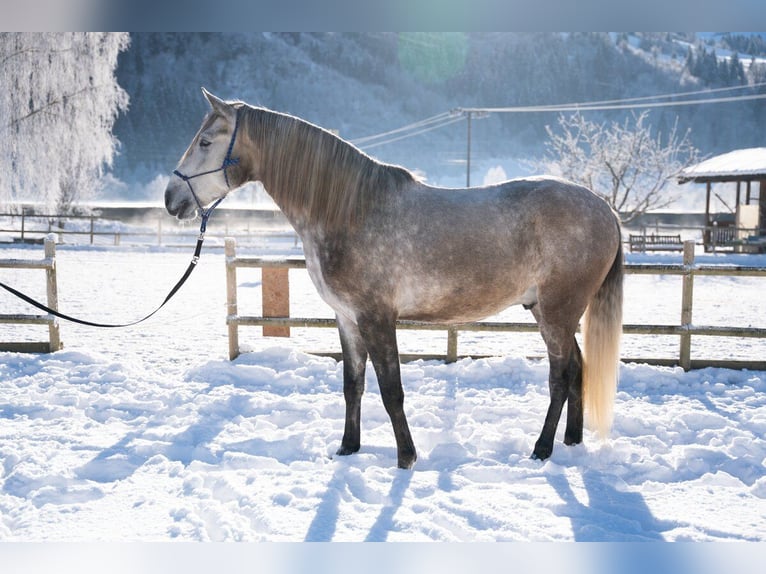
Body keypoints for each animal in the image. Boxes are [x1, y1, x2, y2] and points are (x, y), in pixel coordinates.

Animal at [164, 88, 624, 470]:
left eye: (206, 142)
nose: (171, 199)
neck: (350, 212)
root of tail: (605, 209)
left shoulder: (376, 318)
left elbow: (391, 389)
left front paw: (406, 458)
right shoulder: (347, 319)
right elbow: (353, 384)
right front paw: (348, 448)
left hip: (557, 313)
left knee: (560, 376)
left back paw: (542, 449)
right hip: (550, 312)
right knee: (578, 369)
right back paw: (571, 442)